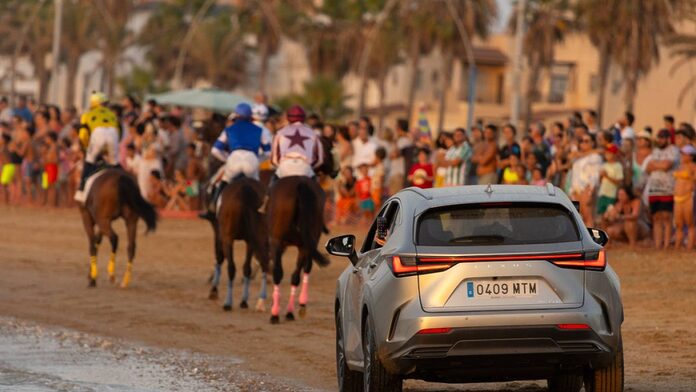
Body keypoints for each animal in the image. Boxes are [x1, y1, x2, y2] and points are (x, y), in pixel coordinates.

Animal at [209, 176, 270, 310]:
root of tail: (244, 189)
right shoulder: (250, 241)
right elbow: (247, 267)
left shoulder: (223, 237)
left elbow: (220, 259)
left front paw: (214, 290)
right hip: (256, 238)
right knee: (257, 264)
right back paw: (252, 301)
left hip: (228, 238)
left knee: (231, 267)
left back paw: (228, 302)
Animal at [268, 176, 330, 324]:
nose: (335, 173)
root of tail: (300, 184)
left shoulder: (276, 242)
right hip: (305, 243)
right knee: (297, 274)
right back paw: (291, 311)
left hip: (278, 241)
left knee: (279, 273)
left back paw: (276, 313)